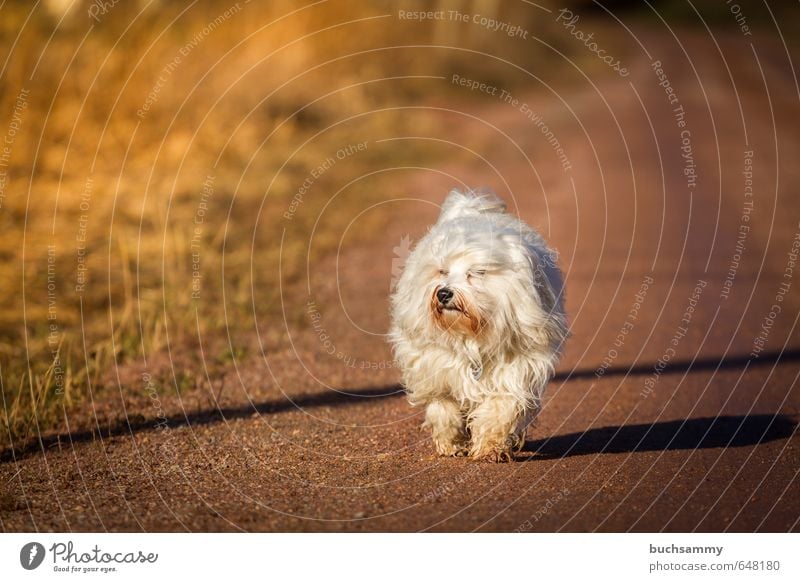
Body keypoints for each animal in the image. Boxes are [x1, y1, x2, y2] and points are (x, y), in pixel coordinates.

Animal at [390, 192, 564, 466]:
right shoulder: (435, 367)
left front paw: (490, 447)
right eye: (442, 271)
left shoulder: (517, 367)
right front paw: (451, 443)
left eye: (478, 272)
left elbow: (501, 408)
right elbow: (443, 407)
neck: (471, 336)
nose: (443, 293)